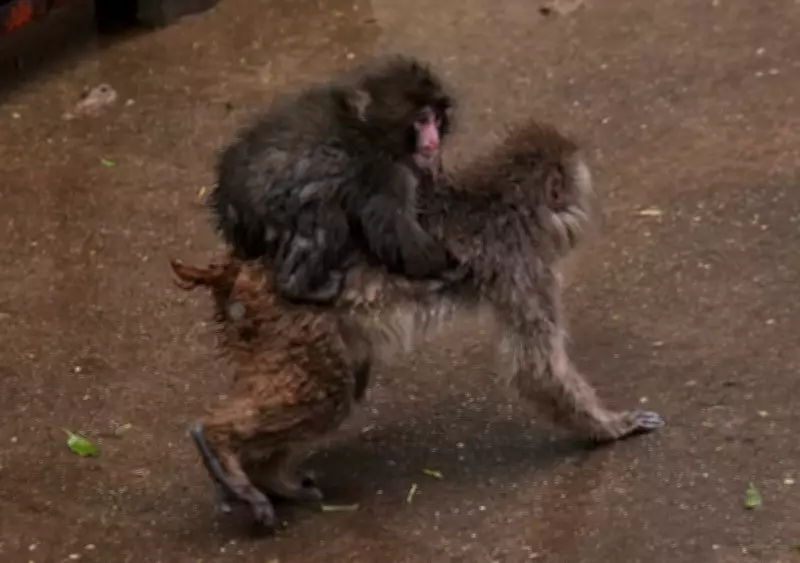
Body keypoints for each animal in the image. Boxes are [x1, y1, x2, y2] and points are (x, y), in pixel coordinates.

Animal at [209, 55, 464, 306]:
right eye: (422, 120)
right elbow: (395, 230)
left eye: (436, 119)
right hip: (268, 207)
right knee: (323, 215)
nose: (433, 140)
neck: (374, 128)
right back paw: (298, 287)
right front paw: (445, 267)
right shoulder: (386, 172)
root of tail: (227, 196)